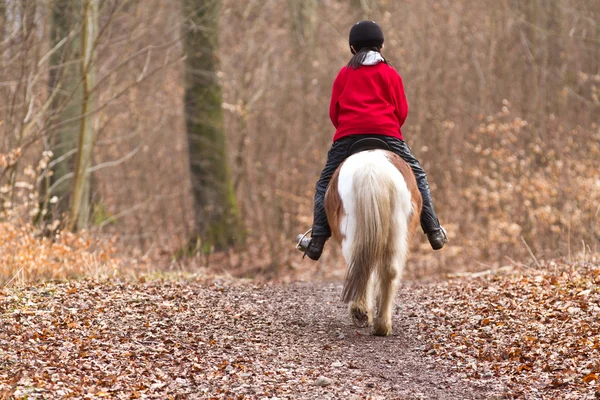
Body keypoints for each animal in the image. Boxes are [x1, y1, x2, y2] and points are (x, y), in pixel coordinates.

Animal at [324, 145, 422, 336]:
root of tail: (371, 170)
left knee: (361, 267)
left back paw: (362, 313)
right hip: (397, 230)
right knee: (389, 270)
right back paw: (382, 324)